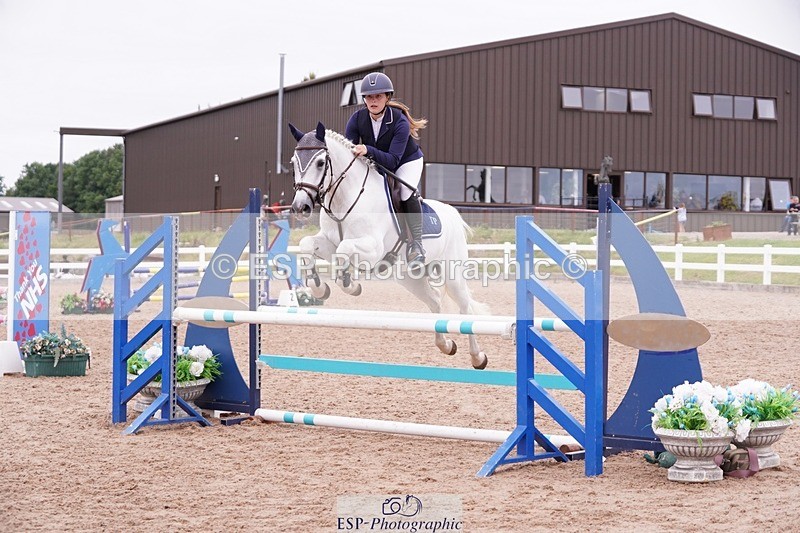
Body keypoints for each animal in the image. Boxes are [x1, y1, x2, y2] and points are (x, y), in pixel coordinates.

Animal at [288, 122, 490, 369]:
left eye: (319, 162)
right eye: (293, 162)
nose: (300, 207)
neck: (346, 199)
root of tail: (453, 213)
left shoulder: (372, 249)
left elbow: (344, 250)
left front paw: (350, 285)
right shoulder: (328, 242)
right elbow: (308, 244)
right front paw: (318, 287)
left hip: (452, 274)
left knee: (465, 309)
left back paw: (477, 357)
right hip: (409, 278)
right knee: (434, 300)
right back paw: (446, 345)